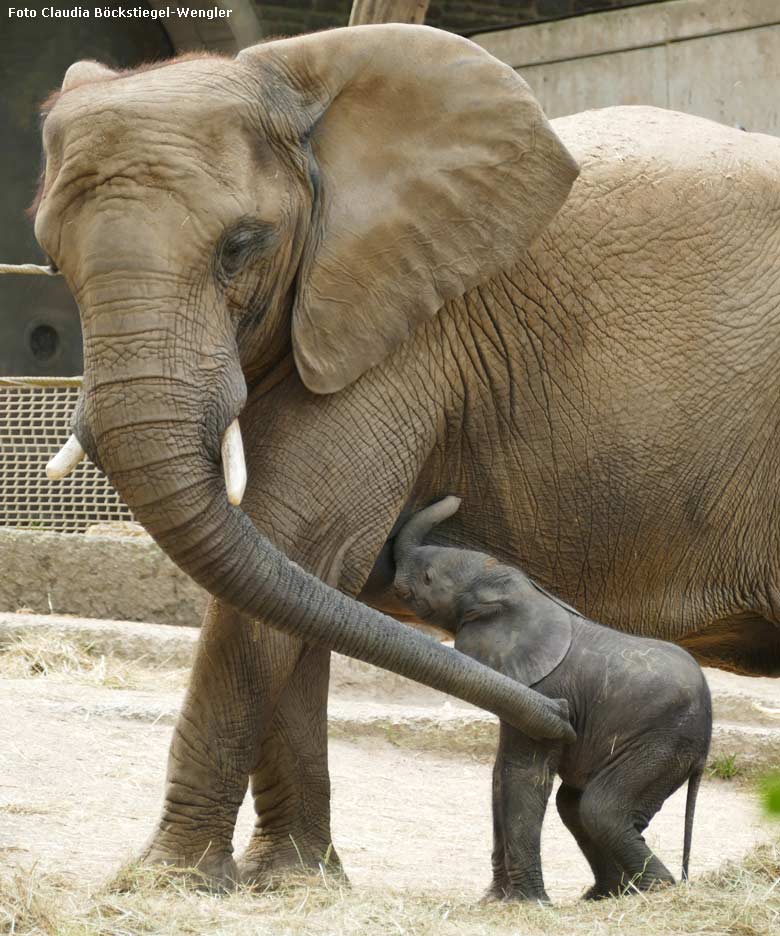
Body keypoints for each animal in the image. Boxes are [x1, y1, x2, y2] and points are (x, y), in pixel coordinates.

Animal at [396, 498, 712, 900]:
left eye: (428, 578)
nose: (454, 499)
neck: (526, 595)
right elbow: (501, 775)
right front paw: (496, 900)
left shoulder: (548, 688)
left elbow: (523, 774)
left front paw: (527, 902)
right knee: (577, 807)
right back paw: (610, 894)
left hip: (662, 743)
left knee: (600, 809)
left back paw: (654, 890)